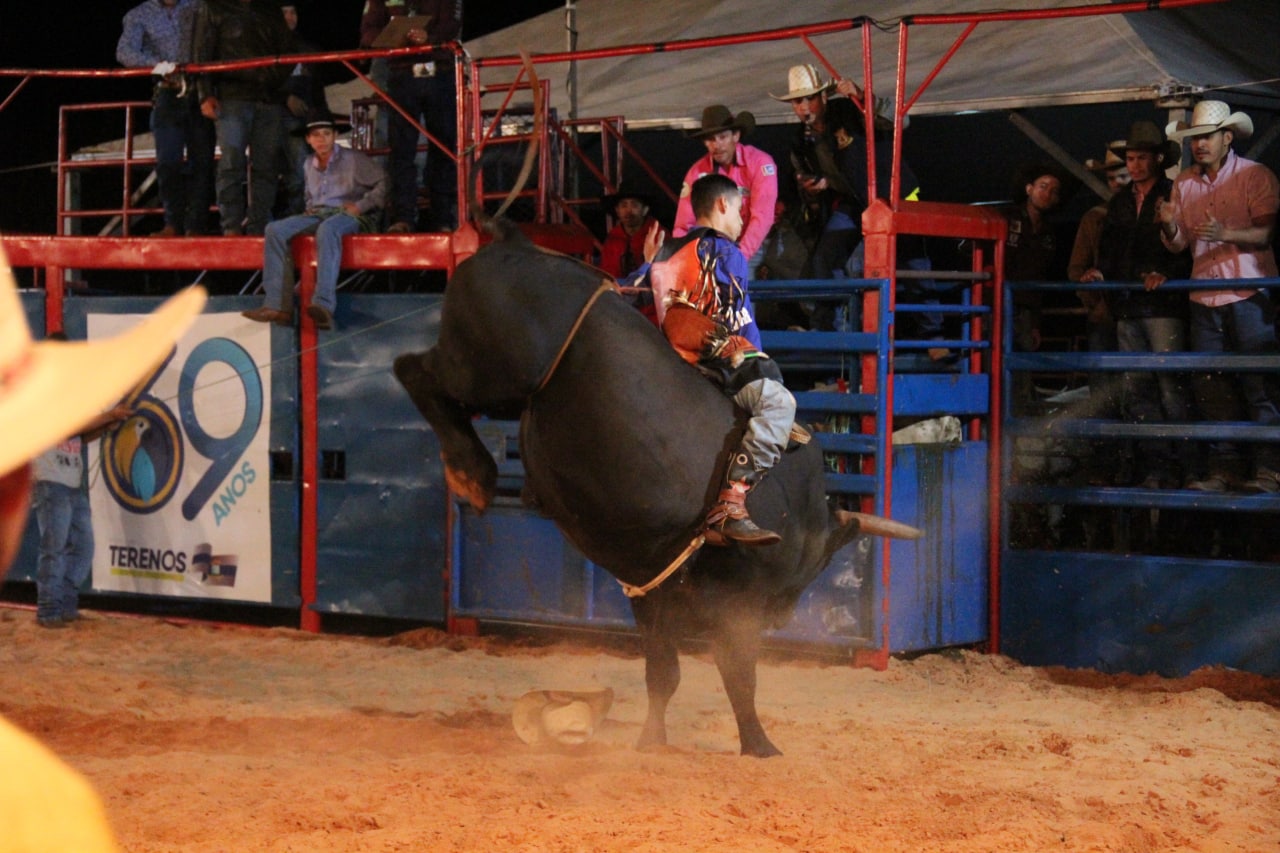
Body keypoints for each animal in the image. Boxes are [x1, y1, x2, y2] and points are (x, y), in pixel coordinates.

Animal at [391, 229, 921, 753]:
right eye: (820, 564)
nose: (783, 615)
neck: (799, 510)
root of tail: (514, 245)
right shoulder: (739, 606)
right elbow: (739, 676)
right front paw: (760, 746)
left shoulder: (651, 590)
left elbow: (663, 674)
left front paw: (651, 741)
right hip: (489, 374)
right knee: (412, 371)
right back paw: (472, 471)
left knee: (418, 375)